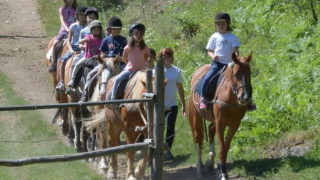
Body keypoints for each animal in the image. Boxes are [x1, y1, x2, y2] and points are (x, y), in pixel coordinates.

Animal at [188, 51, 252, 179]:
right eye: (236, 74)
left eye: (249, 73)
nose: (244, 98)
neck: (230, 99)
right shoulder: (220, 123)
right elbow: (222, 148)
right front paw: (223, 173)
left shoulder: (235, 124)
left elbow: (226, 147)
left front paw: (222, 168)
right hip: (196, 117)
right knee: (198, 140)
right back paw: (199, 169)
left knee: (210, 129)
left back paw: (211, 161)